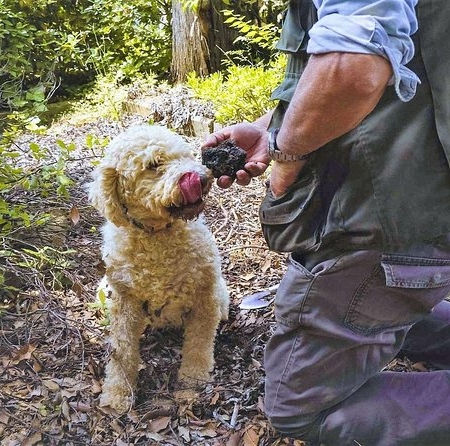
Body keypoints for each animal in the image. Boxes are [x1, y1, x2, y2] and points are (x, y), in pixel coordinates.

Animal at [88, 123, 230, 412]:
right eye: (153, 165)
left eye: (186, 155)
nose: (199, 178)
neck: (158, 236)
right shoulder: (124, 302)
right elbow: (122, 351)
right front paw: (118, 393)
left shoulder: (205, 295)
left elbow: (198, 343)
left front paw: (193, 380)